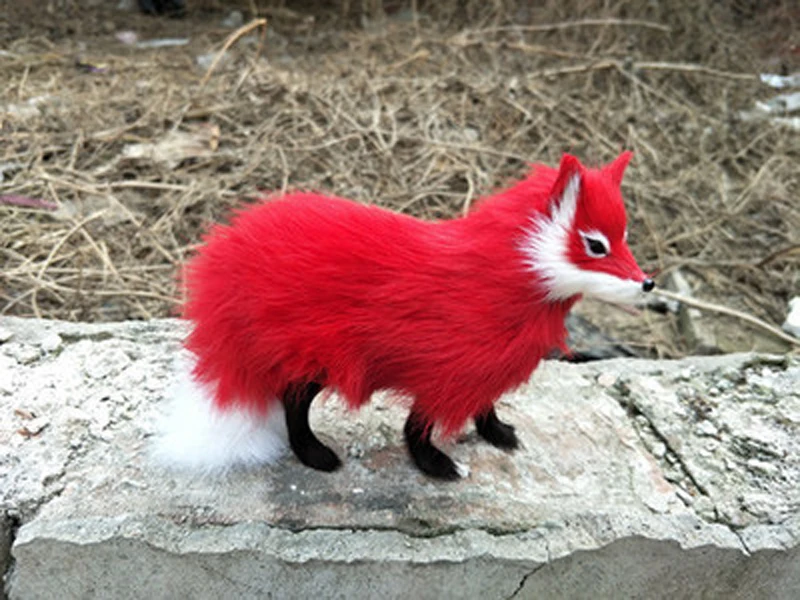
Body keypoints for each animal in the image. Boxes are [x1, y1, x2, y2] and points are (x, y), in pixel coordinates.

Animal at [155, 151, 654, 480]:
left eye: (626, 236)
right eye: (596, 245)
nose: (648, 283)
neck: (493, 283)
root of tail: (230, 250)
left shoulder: (483, 372)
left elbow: (486, 409)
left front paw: (498, 434)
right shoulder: (443, 376)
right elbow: (417, 428)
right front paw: (435, 466)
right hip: (317, 360)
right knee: (293, 404)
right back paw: (315, 455)